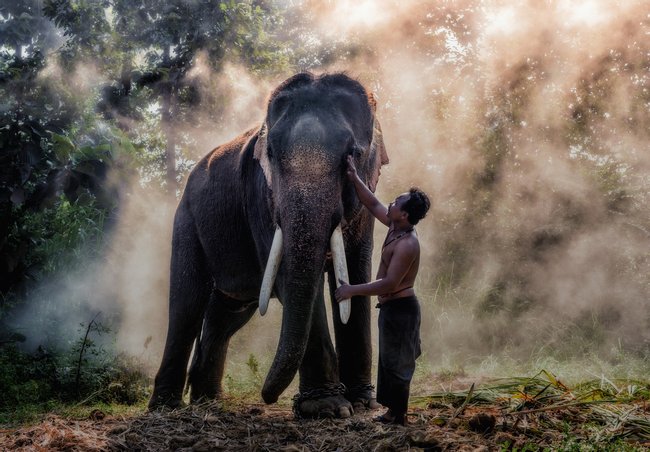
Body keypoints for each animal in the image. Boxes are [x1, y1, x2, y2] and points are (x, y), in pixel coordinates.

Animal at [149, 71, 388, 420]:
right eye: (272, 154)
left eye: (353, 154)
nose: (267, 397)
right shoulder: (261, 195)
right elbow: (289, 280)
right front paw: (327, 408)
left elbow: (358, 275)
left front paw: (363, 404)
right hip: (187, 220)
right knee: (187, 302)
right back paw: (166, 407)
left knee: (228, 312)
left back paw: (208, 400)